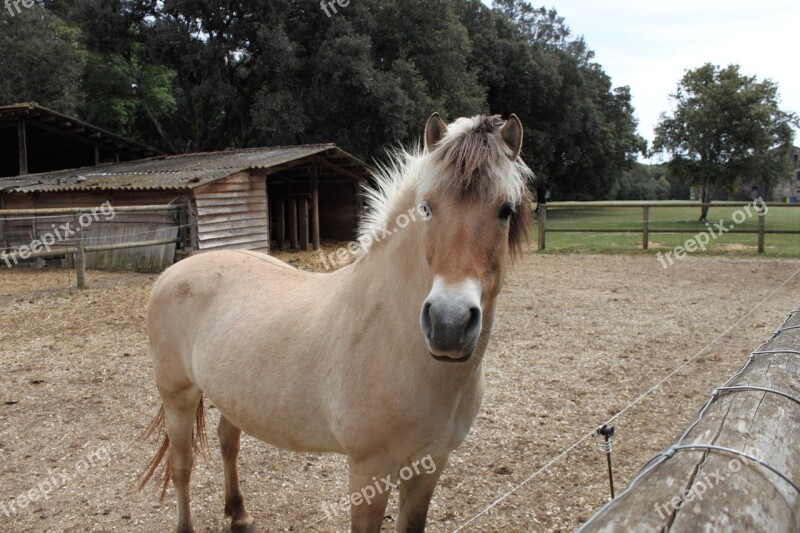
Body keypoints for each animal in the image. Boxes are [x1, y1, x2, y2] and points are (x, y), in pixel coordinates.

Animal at [141, 110, 536, 528]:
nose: (449, 324)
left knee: (227, 441)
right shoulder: (369, 472)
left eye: (505, 210)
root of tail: (172, 272)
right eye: (427, 207)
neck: (394, 338)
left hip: (230, 394)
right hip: (178, 396)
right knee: (182, 467)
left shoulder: (430, 466)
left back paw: (240, 514)